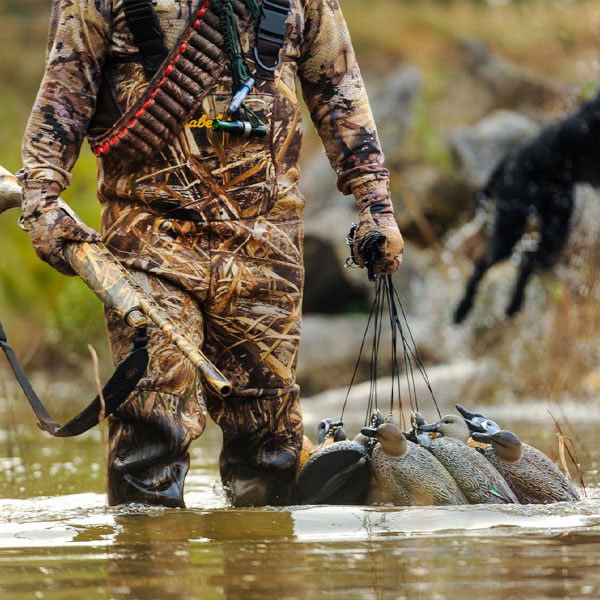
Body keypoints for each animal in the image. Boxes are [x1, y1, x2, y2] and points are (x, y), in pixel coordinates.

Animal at [452, 91, 600, 324]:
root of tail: (508, 158)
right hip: (511, 228)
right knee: (482, 265)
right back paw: (463, 309)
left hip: (556, 229)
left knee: (527, 263)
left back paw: (513, 305)